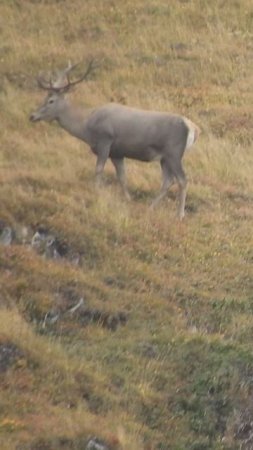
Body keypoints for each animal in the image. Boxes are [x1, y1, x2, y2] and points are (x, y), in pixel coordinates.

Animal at [29, 60, 200, 219]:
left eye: (51, 100)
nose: (32, 116)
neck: (87, 127)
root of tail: (193, 129)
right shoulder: (117, 153)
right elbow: (122, 177)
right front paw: (128, 199)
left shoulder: (105, 140)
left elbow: (98, 169)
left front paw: (96, 192)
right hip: (164, 158)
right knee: (167, 181)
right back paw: (151, 207)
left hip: (174, 153)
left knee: (183, 179)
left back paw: (179, 214)